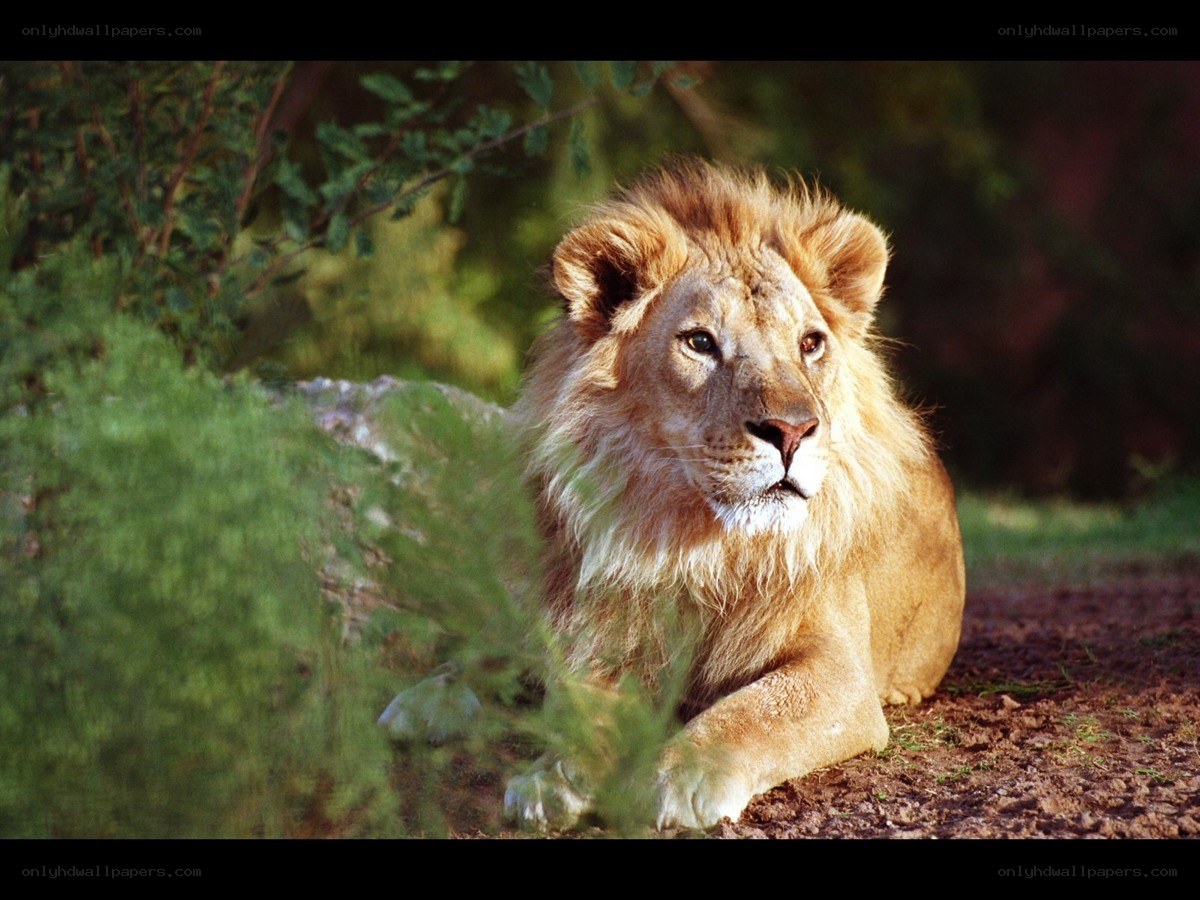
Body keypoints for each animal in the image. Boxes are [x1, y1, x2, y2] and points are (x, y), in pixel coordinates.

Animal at [502, 160, 965, 831]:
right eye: (699, 342)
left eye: (810, 344)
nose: (792, 432)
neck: (704, 546)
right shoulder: (606, 641)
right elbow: (578, 709)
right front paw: (551, 776)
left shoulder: (840, 674)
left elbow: (752, 712)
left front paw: (675, 777)